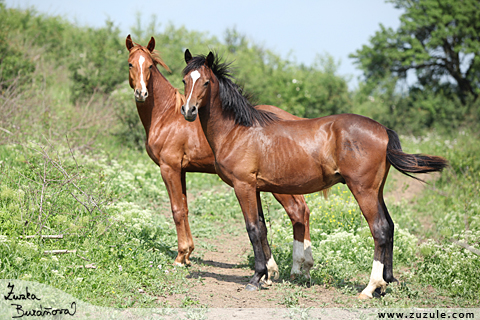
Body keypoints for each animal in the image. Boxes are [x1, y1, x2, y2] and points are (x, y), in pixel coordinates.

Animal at [125, 35, 316, 282]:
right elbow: (185, 208)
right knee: (302, 211)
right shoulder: (182, 170)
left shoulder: (169, 168)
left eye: (149, 66)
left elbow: (177, 210)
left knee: (297, 212)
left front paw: (180, 257)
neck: (167, 115)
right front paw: (188, 254)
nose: (141, 93)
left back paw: (294, 269)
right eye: (130, 64)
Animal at [182, 50, 448, 298]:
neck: (238, 131)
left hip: (363, 191)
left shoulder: (243, 186)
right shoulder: (255, 188)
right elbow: (262, 227)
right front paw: (267, 276)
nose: (189, 110)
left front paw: (256, 278)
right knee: (390, 227)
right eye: (185, 80)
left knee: (380, 229)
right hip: (376, 191)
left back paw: (370, 287)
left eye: (206, 82)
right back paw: (387, 283)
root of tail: (383, 130)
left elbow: (253, 229)